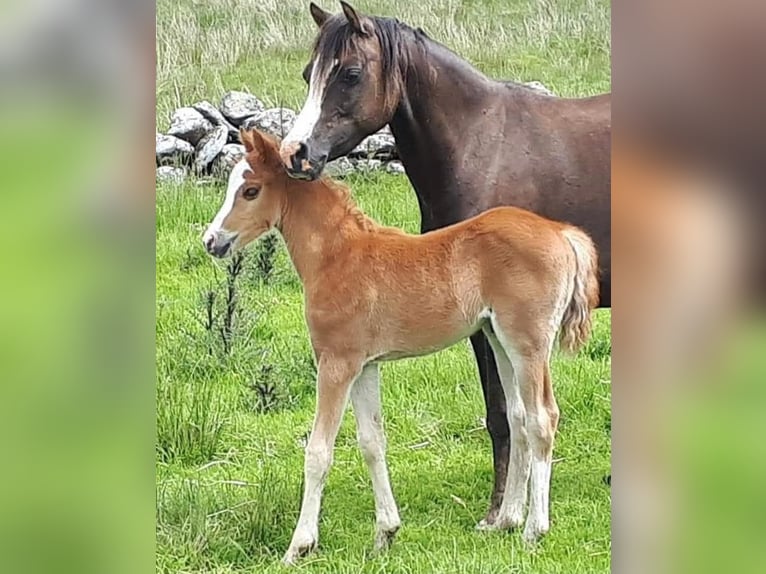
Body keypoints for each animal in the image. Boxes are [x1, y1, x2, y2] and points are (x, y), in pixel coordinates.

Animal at [202, 130, 600, 568]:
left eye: (251, 190)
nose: (211, 241)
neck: (337, 257)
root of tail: (561, 233)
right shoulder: (365, 365)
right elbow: (372, 442)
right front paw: (386, 533)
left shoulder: (335, 362)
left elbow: (319, 452)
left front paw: (299, 546)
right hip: (498, 338)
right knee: (519, 417)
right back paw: (506, 520)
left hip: (528, 343)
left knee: (542, 417)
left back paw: (534, 530)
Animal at [280, 1, 608, 532]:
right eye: (309, 73)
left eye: (350, 73)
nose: (295, 153)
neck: (481, 144)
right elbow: (509, 414)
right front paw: (506, 512)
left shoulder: (487, 327)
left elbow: (502, 415)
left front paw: (498, 512)